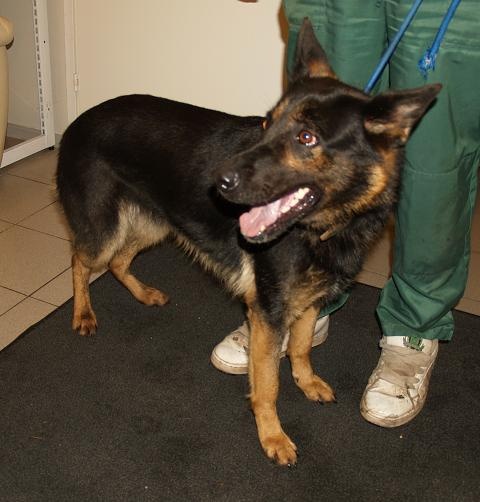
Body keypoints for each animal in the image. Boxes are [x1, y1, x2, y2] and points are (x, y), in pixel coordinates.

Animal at [57, 19, 441, 465]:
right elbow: (269, 383)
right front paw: (272, 435)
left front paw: (307, 382)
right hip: (105, 229)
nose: (219, 182)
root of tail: (81, 118)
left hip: (157, 222)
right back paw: (83, 313)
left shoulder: (308, 300)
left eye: (306, 137)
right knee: (80, 260)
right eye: (266, 124)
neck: (325, 226)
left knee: (118, 262)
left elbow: (302, 347)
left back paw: (144, 293)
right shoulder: (269, 314)